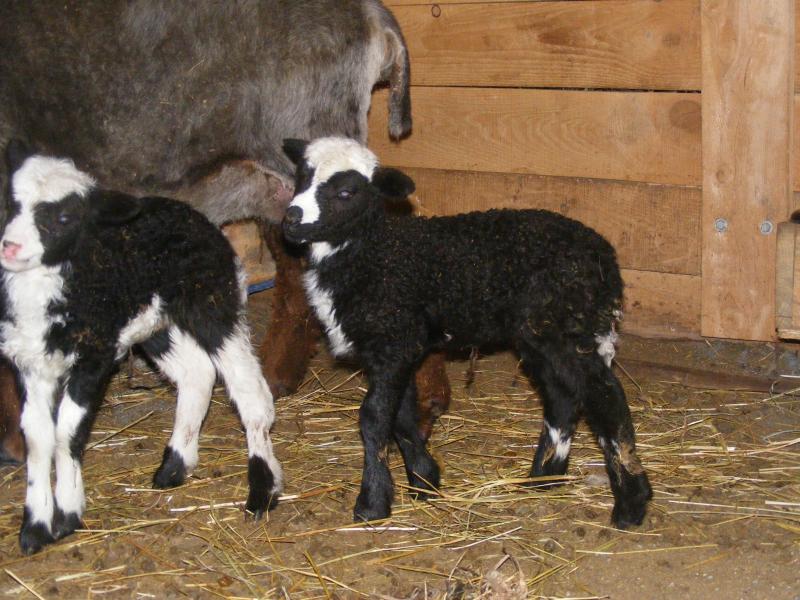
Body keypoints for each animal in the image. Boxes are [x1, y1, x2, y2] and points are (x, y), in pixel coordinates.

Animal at [0, 141, 282, 555]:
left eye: (66, 217)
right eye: (11, 203)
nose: (10, 246)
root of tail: (190, 214)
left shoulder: (93, 356)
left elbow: (67, 433)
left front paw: (67, 515)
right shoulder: (31, 363)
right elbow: (37, 439)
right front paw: (35, 528)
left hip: (213, 303)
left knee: (251, 394)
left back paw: (263, 491)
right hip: (156, 325)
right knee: (198, 375)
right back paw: (175, 466)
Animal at [281, 136, 653, 529]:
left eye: (347, 192)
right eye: (301, 175)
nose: (291, 218)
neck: (374, 253)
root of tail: (606, 259)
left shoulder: (394, 340)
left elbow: (375, 417)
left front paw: (373, 502)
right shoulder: (399, 344)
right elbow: (402, 416)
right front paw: (425, 481)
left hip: (568, 329)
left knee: (605, 396)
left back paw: (630, 504)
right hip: (539, 334)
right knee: (563, 396)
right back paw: (543, 478)